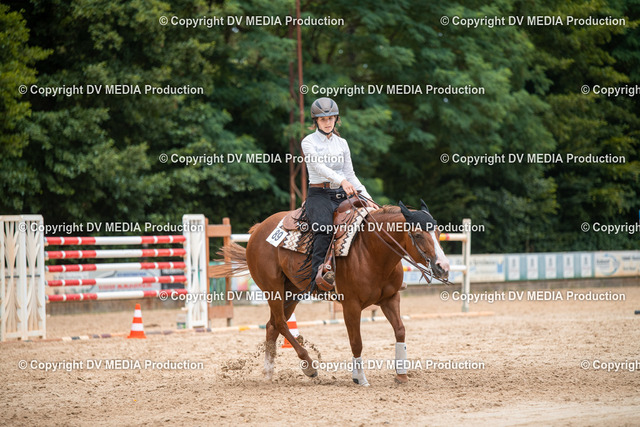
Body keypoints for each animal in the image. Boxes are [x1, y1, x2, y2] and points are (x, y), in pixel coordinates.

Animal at [212, 199, 450, 386]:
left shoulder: (390, 299)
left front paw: (401, 375)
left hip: (293, 292)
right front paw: (360, 378)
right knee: (280, 323)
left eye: (439, 232)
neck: (371, 250)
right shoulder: (351, 305)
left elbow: (400, 330)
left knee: (272, 326)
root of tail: (259, 229)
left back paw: (269, 373)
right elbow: (356, 341)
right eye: (418, 235)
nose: (443, 267)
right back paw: (308, 365)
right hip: (273, 289)